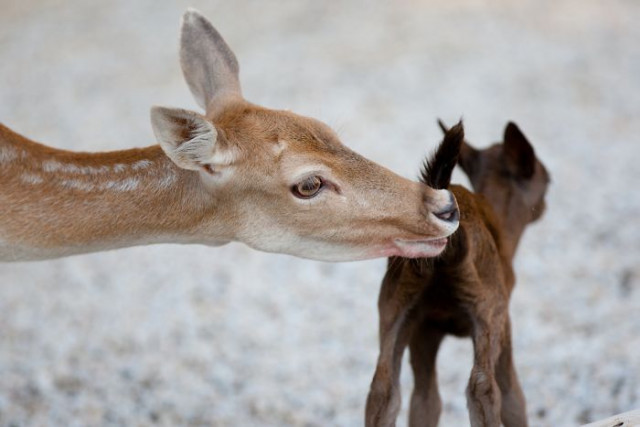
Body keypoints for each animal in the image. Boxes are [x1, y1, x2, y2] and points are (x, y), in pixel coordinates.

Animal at [364, 120, 552, 427]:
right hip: (487, 313)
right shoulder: (504, 323)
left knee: (383, 389)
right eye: (544, 177)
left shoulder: (424, 329)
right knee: (483, 387)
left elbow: (425, 403)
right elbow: (514, 401)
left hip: (395, 310)